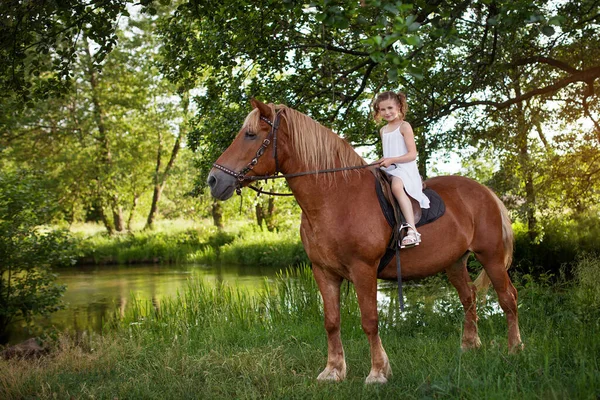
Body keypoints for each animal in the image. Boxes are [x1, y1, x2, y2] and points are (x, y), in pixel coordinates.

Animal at [209, 99, 524, 384]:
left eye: (251, 135)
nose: (213, 180)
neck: (336, 198)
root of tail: (485, 192)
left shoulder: (364, 270)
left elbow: (370, 321)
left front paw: (377, 373)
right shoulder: (324, 272)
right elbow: (331, 322)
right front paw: (333, 371)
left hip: (491, 258)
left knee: (508, 299)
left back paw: (515, 349)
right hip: (455, 262)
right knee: (469, 298)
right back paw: (469, 346)